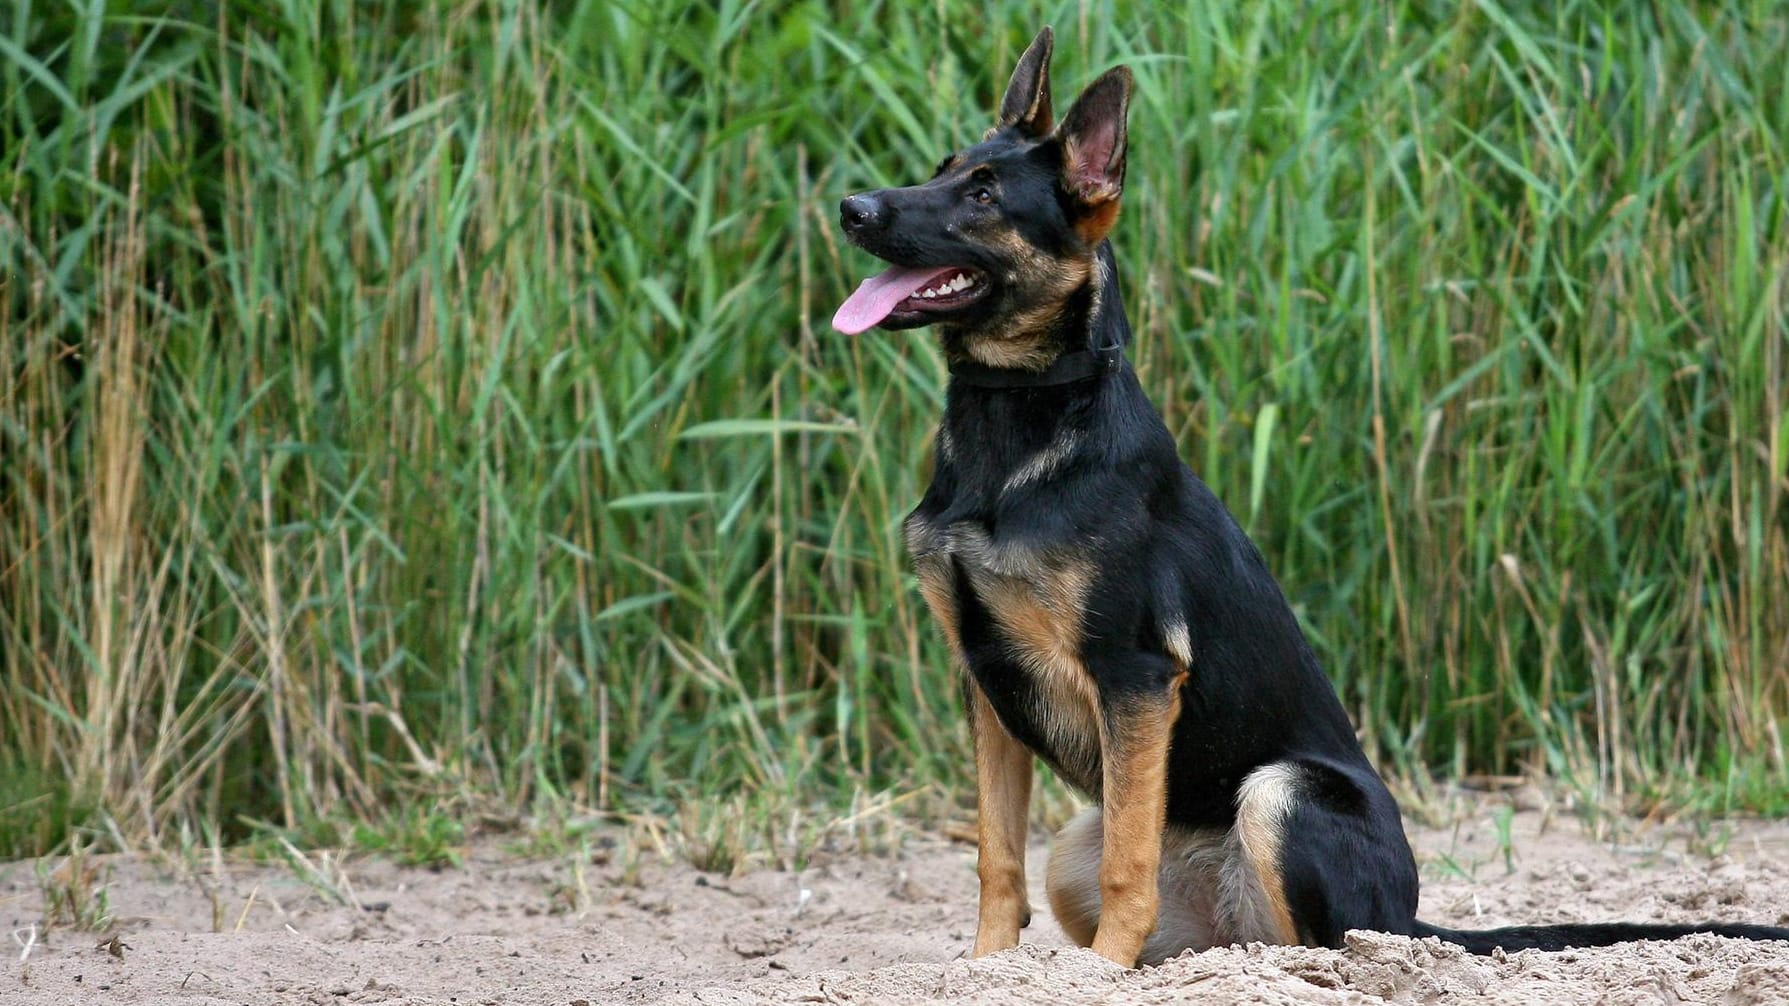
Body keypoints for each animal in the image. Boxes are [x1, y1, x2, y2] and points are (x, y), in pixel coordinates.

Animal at [833, 23, 1789, 966]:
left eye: (983, 195)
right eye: (943, 168)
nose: (851, 208)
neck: (1018, 418)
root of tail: (1409, 920)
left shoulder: (1135, 674)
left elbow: (1127, 865)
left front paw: (1095, 977)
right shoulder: (985, 680)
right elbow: (996, 858)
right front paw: (986, 968)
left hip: (1279, 793)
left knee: (1327, 944)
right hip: (1085, 839)